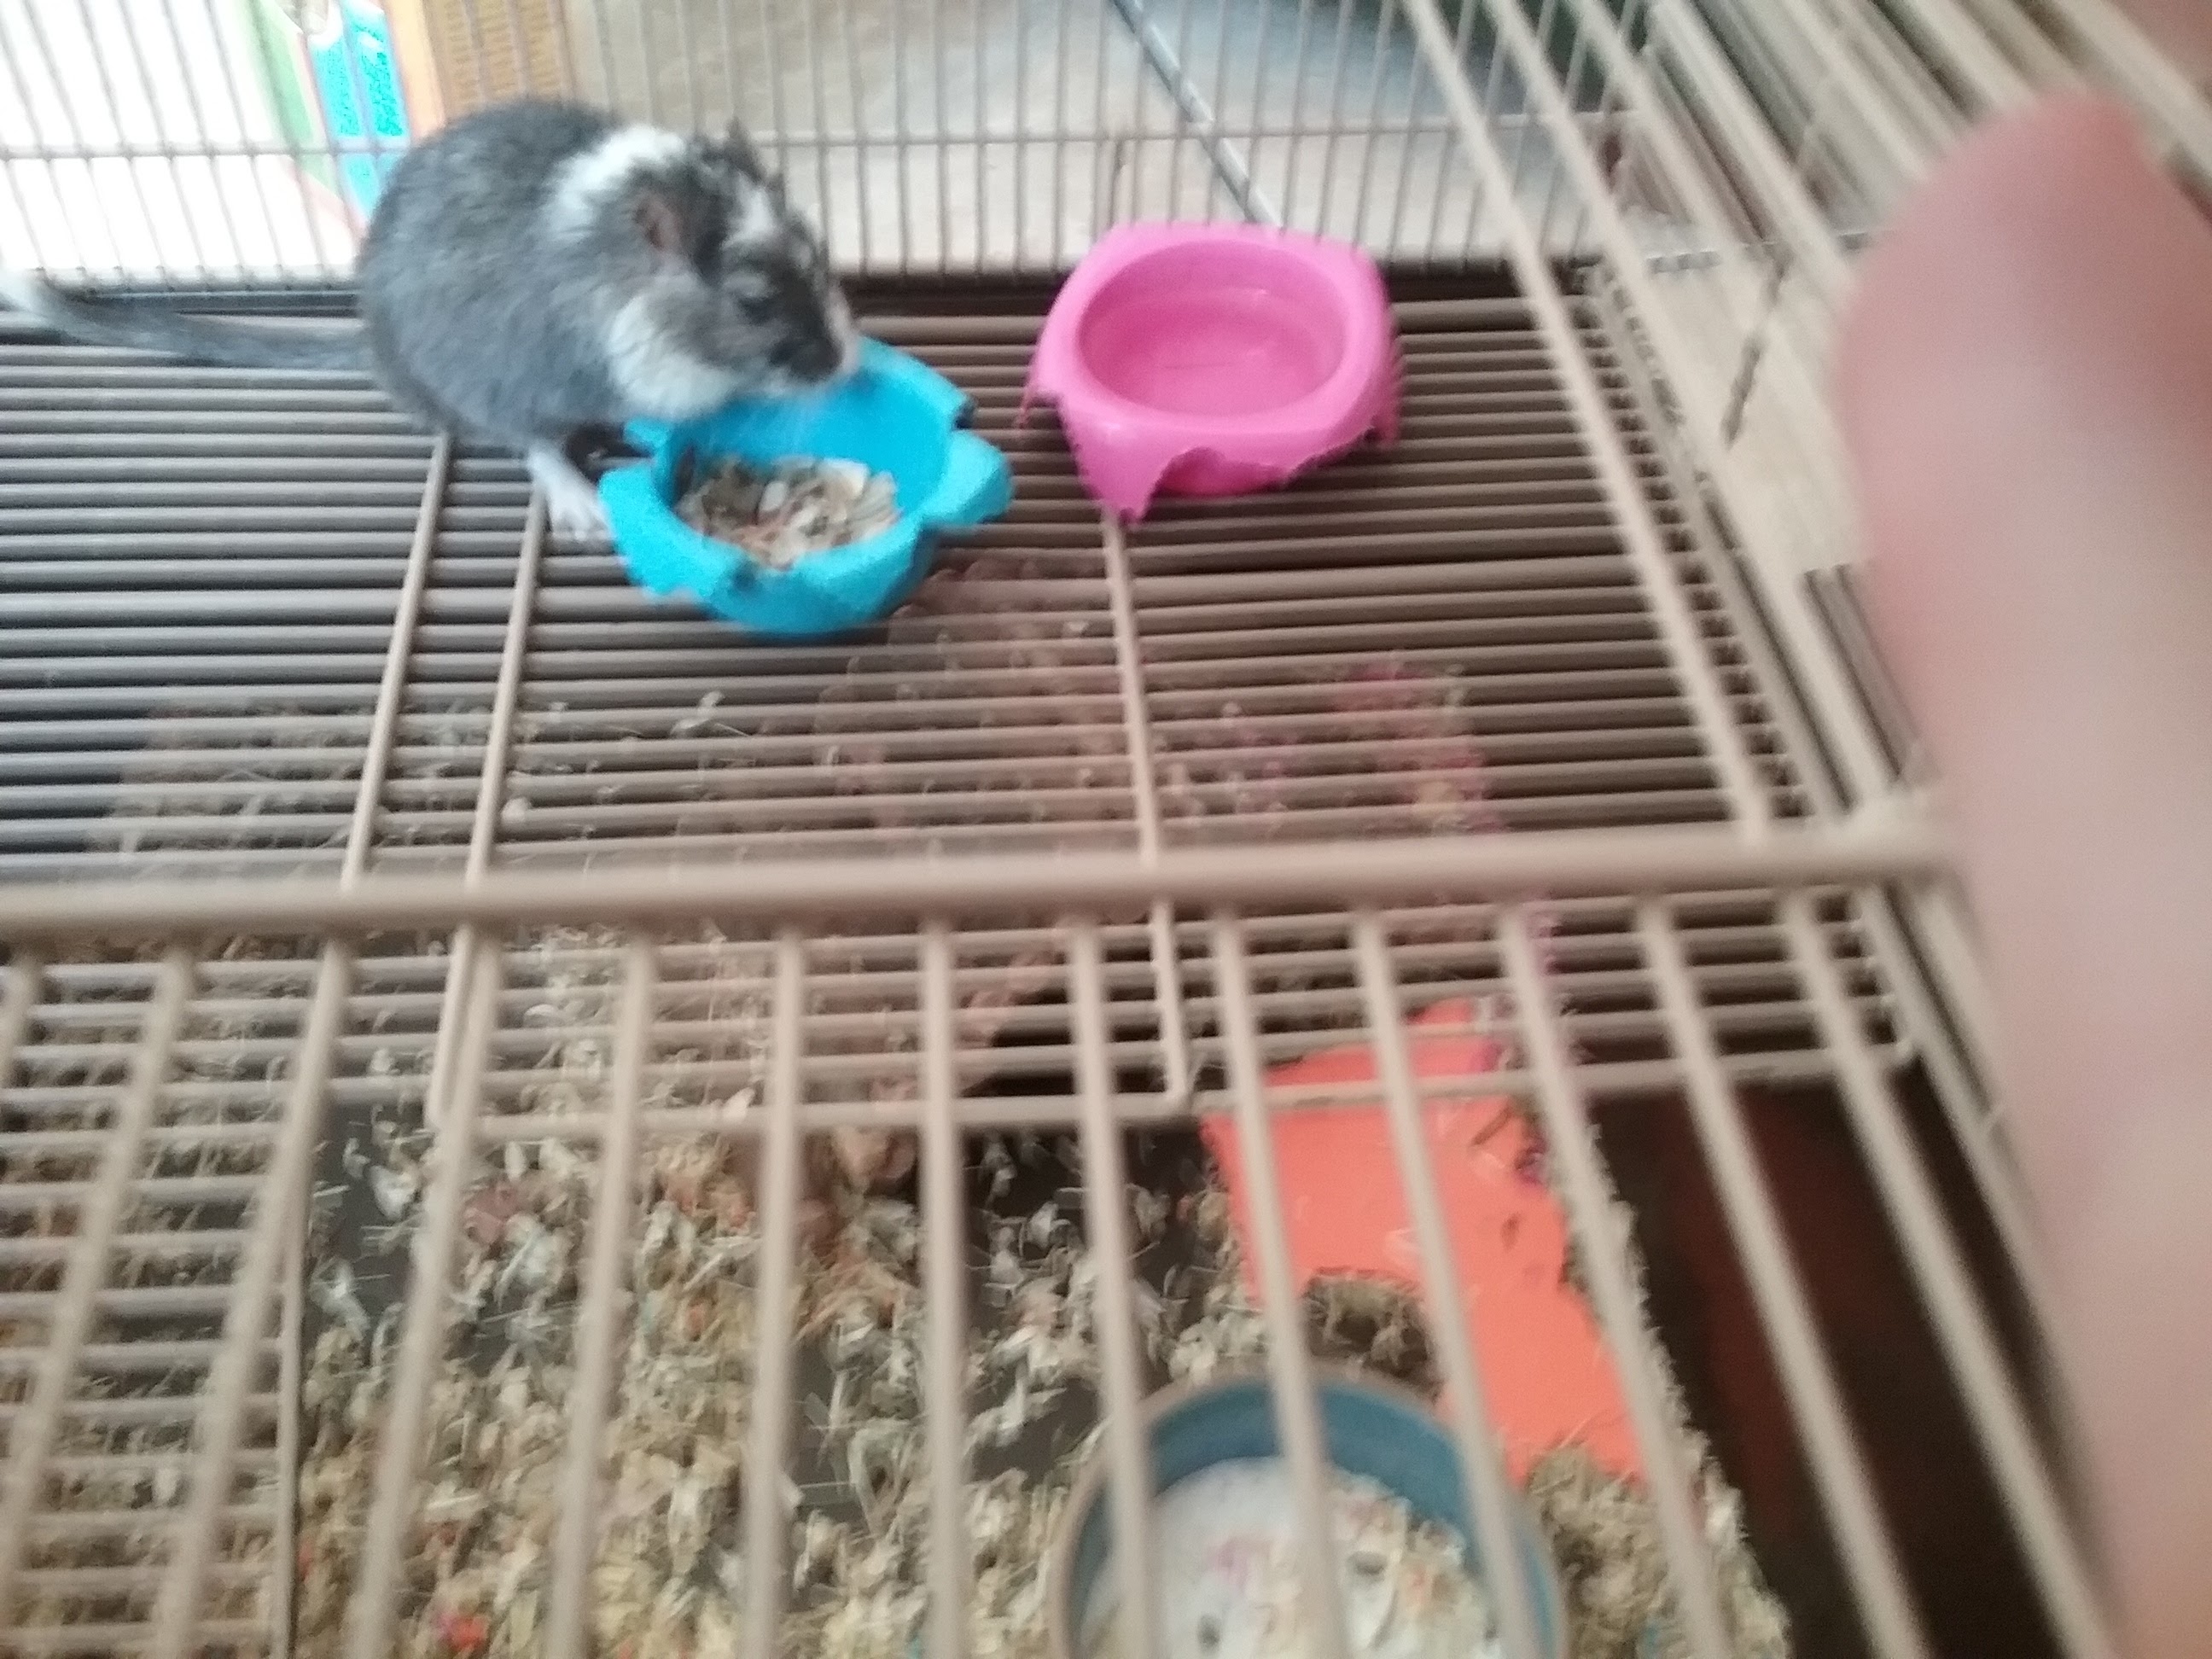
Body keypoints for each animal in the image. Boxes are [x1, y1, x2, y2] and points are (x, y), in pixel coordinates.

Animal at [0, 97, 858, 542]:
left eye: (818, 250)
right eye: (753, 302)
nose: (848, 366)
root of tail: (372, 349)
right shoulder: (640, 367)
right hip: (488, 387)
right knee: (531, 444)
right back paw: (583, 511)